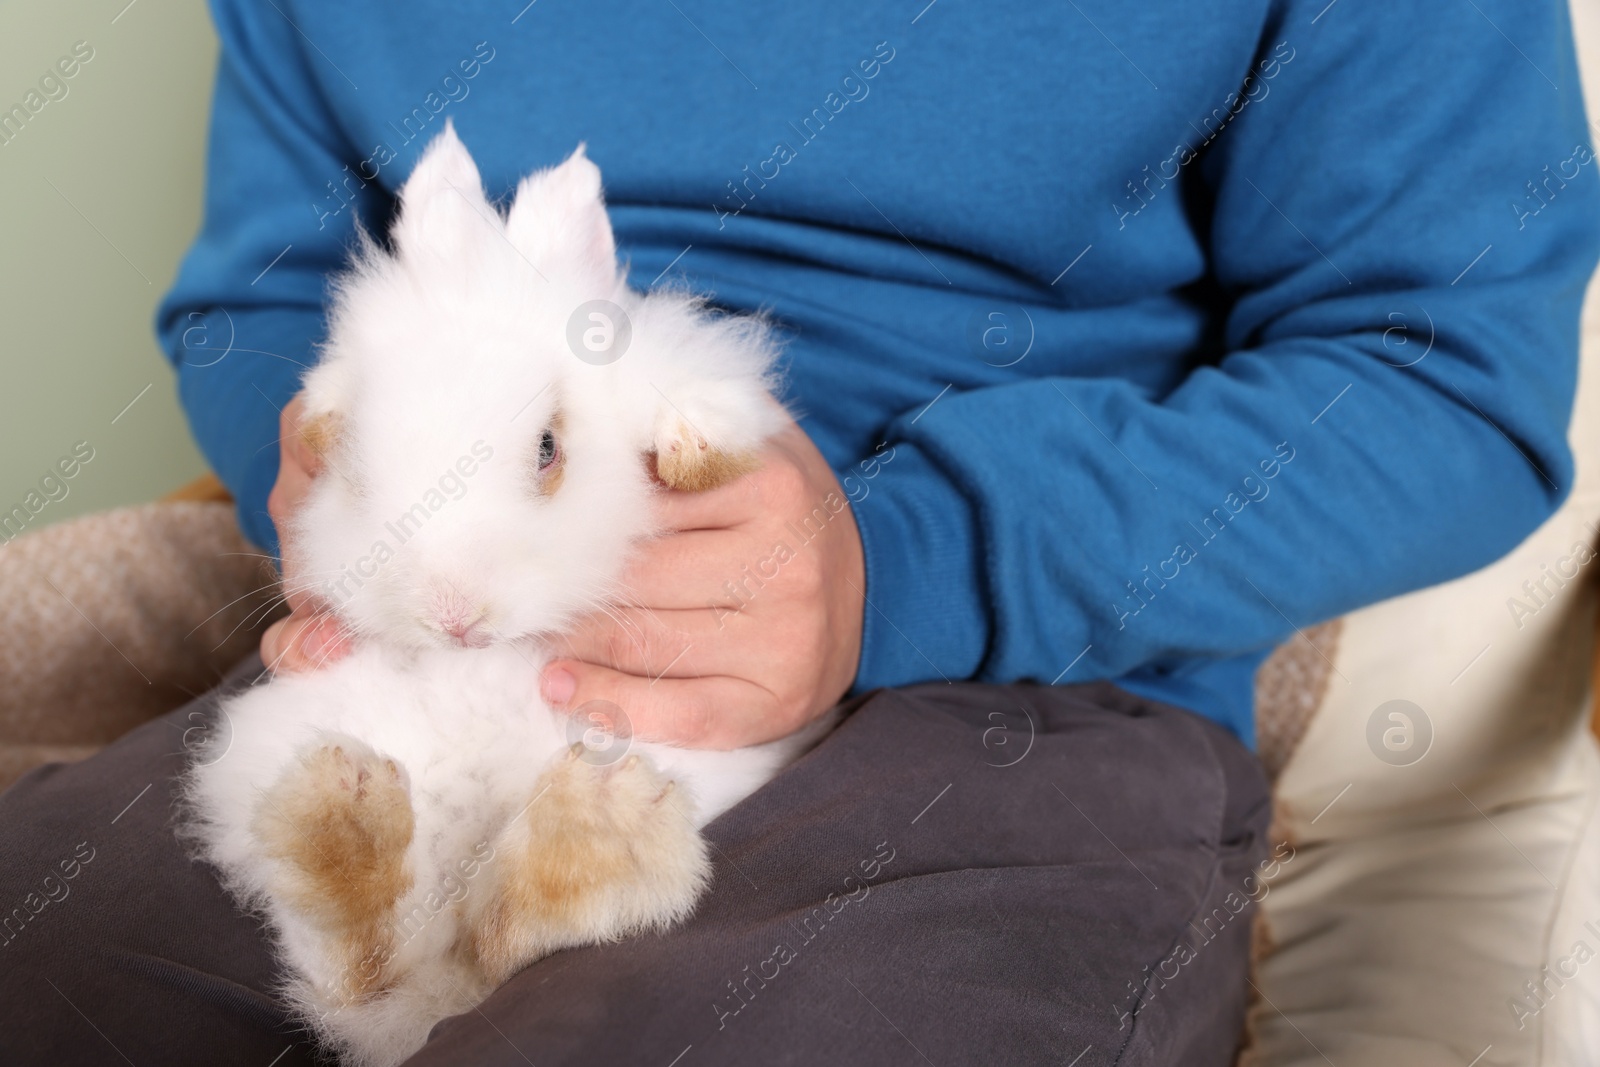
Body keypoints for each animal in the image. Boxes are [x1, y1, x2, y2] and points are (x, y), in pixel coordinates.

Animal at [180, 127, 819, 1067]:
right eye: (355, 464)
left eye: (549, 449)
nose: (453, 615)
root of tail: (428, 1013)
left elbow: (693, 405)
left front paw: (689, 445)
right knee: (374, 959)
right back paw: (346, 808)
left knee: (497, 938)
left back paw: (599, 820)